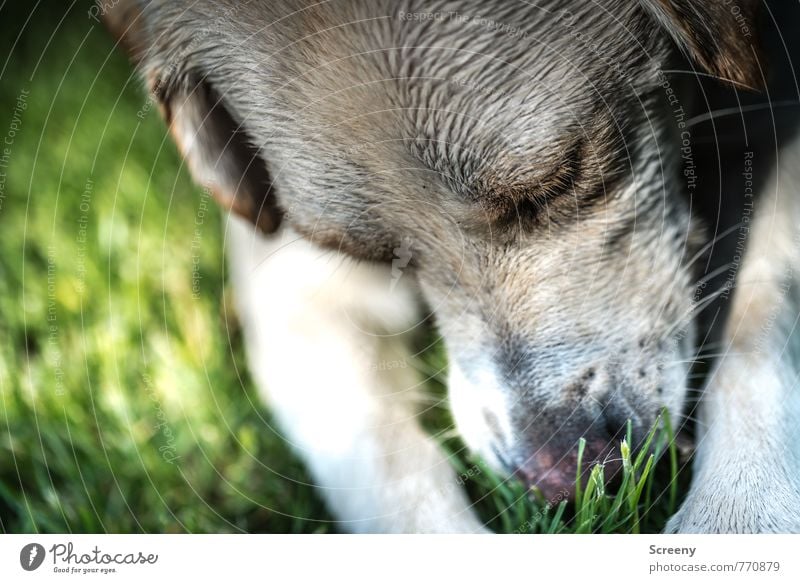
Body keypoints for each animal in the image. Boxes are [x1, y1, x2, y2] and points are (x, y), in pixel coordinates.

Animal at [100, 0, 800, 532]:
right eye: (371, 254)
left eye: (560, 180)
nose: (565, 478)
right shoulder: (289, 277)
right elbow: (381, 455)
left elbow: (759, 327)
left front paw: (739, 511)